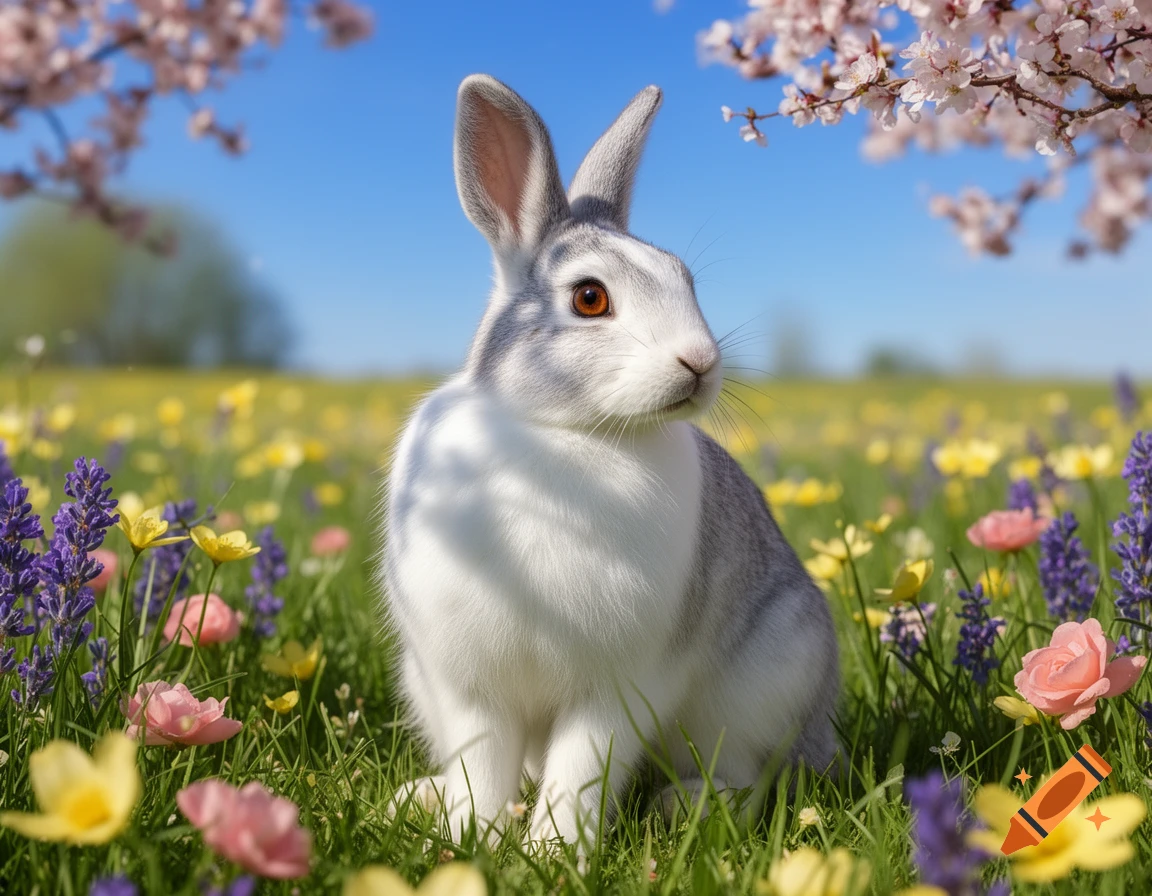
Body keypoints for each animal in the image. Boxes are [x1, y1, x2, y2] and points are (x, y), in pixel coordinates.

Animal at [380, 74, 840, 852]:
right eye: (589, 297)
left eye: (685, 278)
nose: (700, 362)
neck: (566, 430)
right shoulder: (470, 687)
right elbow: (486, 768)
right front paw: (473, 838)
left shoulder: (617, 686)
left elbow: (581, 768)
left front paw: (555, 850)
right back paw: (419, 799)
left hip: (764, 685)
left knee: (751, 778)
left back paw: (688, 806)